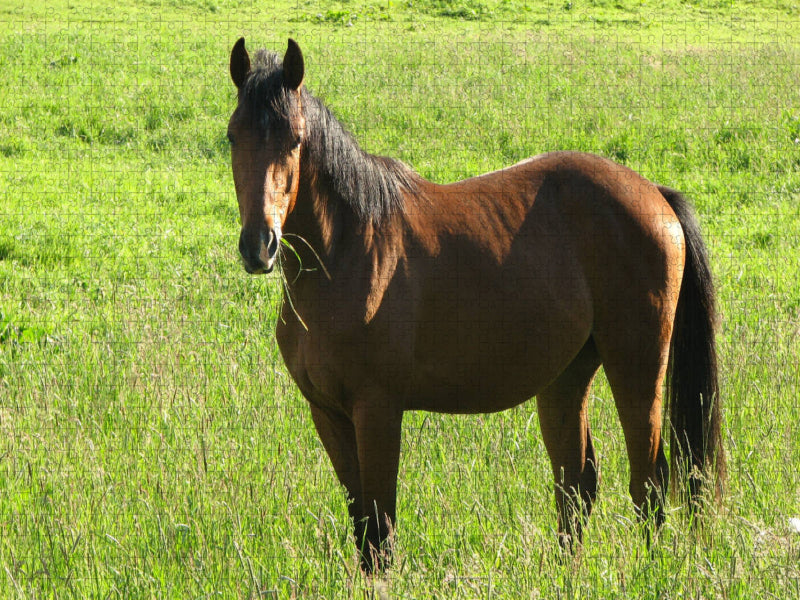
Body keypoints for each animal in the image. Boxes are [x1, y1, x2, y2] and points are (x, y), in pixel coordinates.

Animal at [227, 37, 725, 572]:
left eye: (295, 140)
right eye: (233, 137)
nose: (259, 246)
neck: (349, 251)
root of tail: (656, 195)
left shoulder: (377, 410)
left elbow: (380, 526)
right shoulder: (327, 413)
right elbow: (363, 527)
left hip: (637, 368)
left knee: (648, 481)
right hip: (566, 377)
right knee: (577, 485)